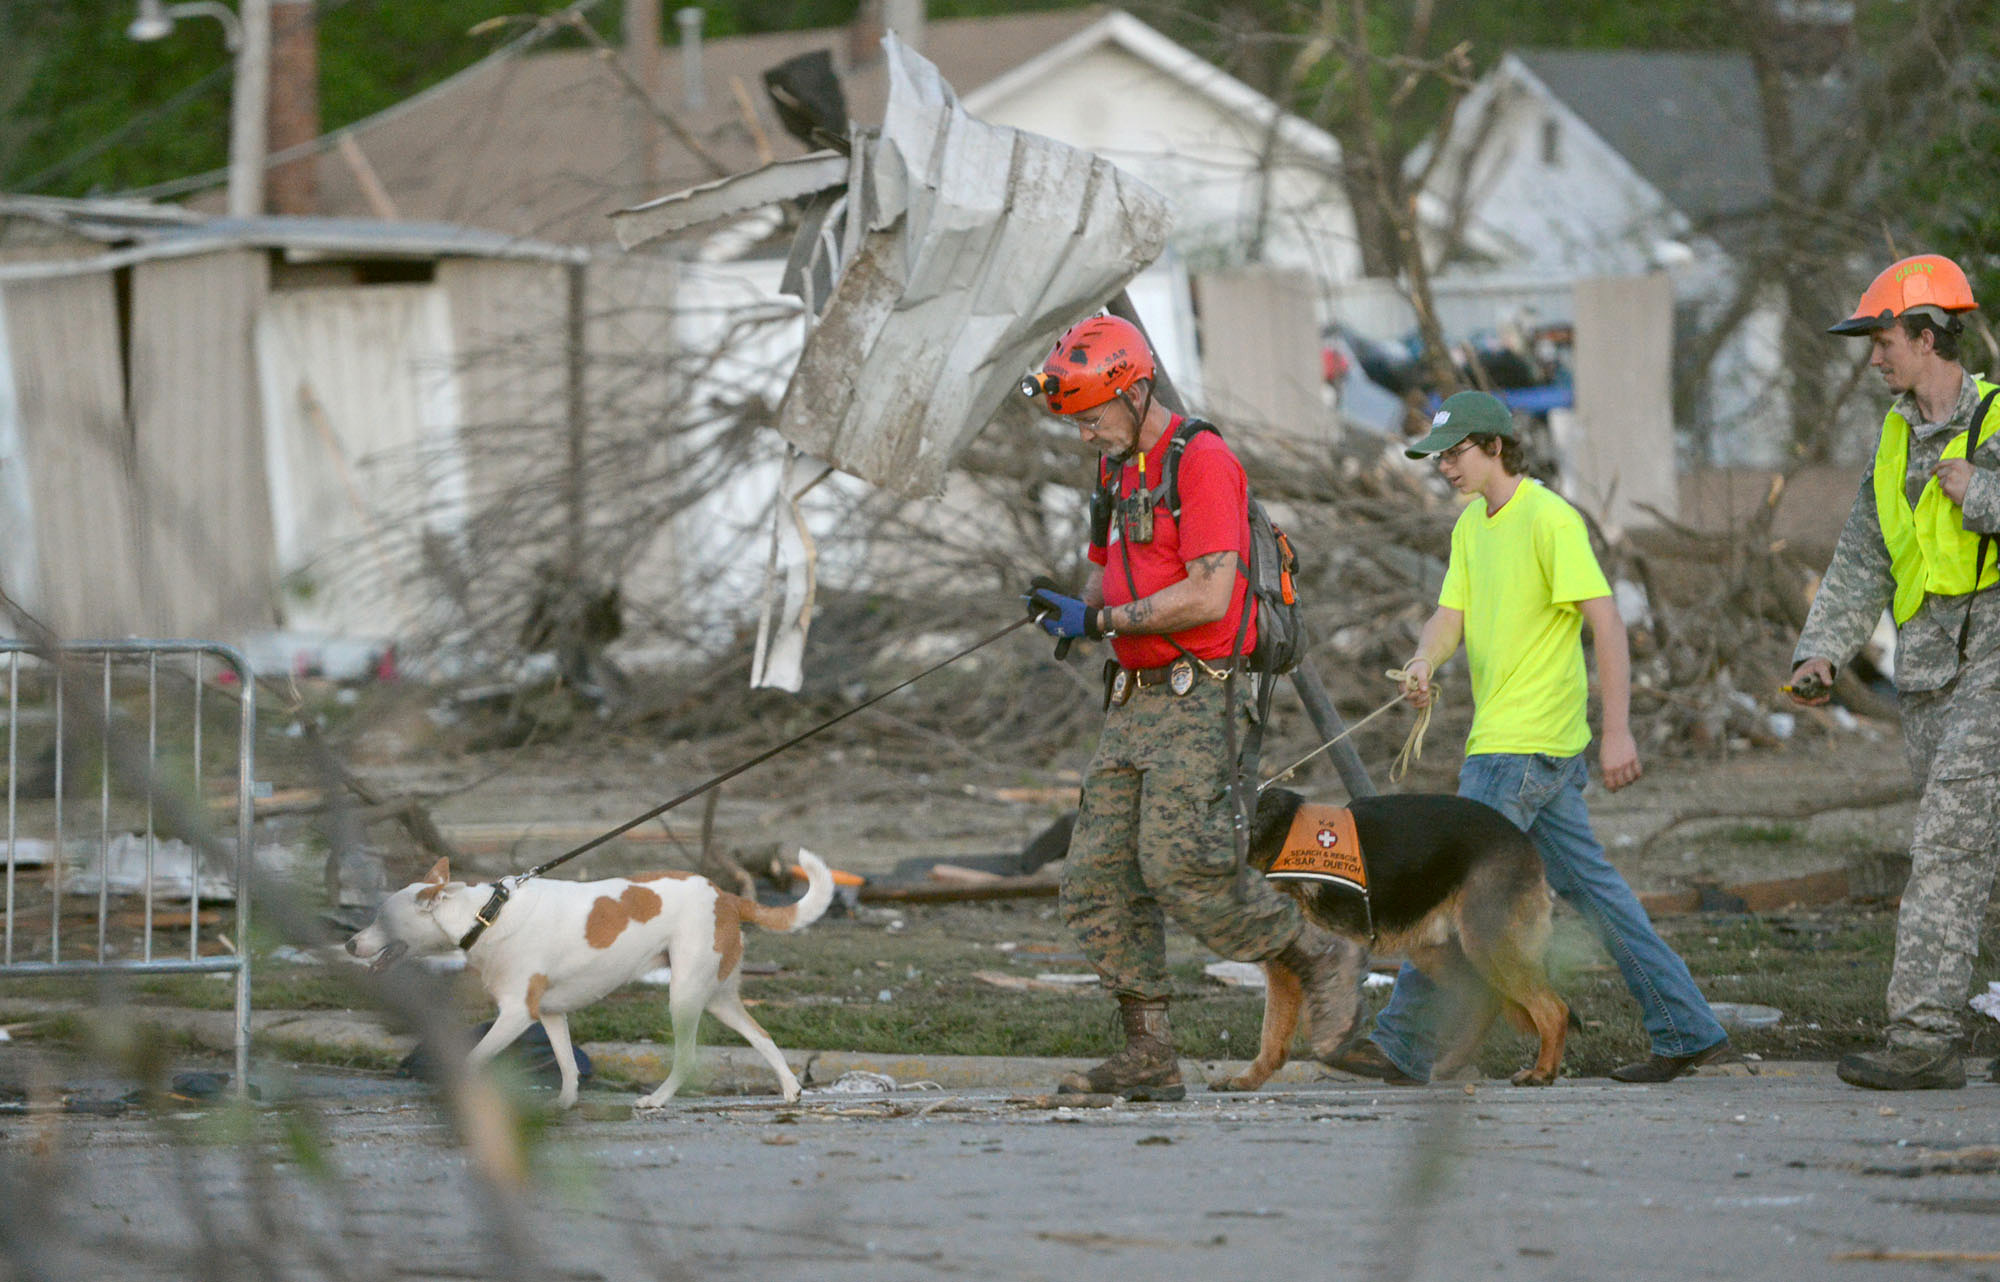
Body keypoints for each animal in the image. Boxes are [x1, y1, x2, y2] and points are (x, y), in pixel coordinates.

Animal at [348, 848, 832, 1112]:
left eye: (382, 918)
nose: (350, 943)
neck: (485, 914)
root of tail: (725, 895)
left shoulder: (516, 1015)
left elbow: (473, 1059)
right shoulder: (549, 1014)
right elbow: (566, 1066)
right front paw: (564, 1105)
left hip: (684, 995)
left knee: (688, 1057)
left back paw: (656, 1100)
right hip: (718, 997)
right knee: (762, 1035)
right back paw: (791, 1088)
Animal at [1208, 784, 1568, 1088]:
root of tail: (1522, 839)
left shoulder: (1307, 964)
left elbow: (1291, 1027)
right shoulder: (1290, 968)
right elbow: (1275, 1035)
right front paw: (1248, 1080)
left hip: (1488, 944)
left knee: (1553, 1010)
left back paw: (1541, 1072)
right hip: (1436, 952)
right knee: (1484, 1000)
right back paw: (1448, 1066)